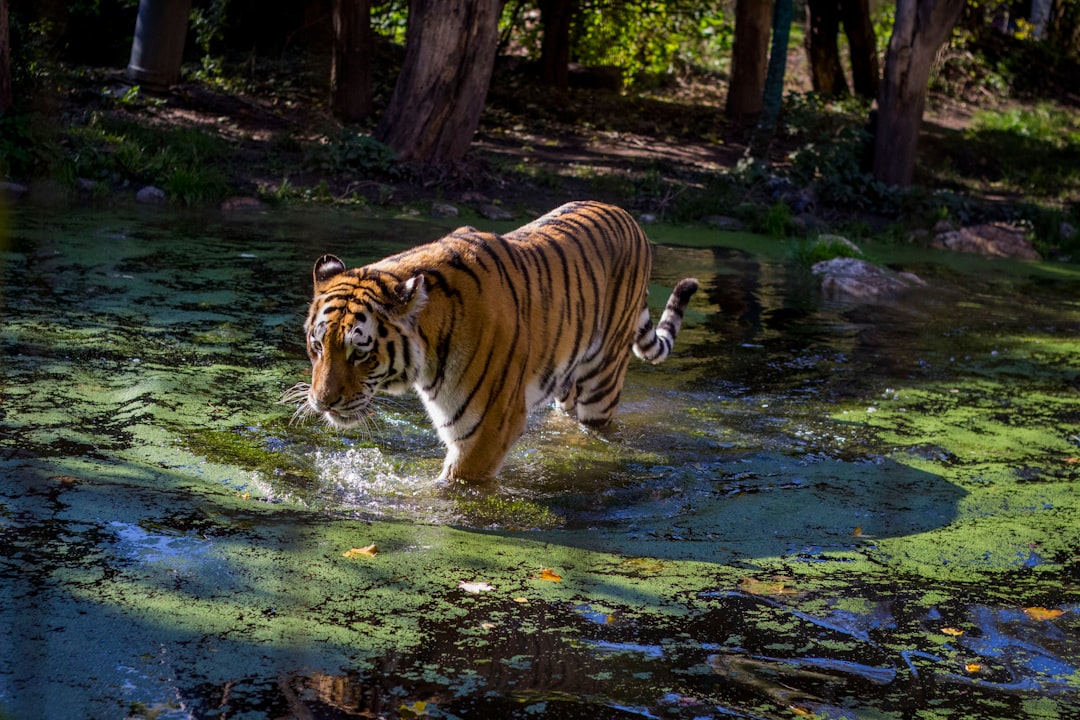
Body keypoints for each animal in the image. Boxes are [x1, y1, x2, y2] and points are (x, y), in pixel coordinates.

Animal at [287, 200, 699, 484]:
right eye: (318, 346)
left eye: (360, 352)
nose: (322, 402)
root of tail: (628, 216)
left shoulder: (488, 428)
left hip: (602, 382)